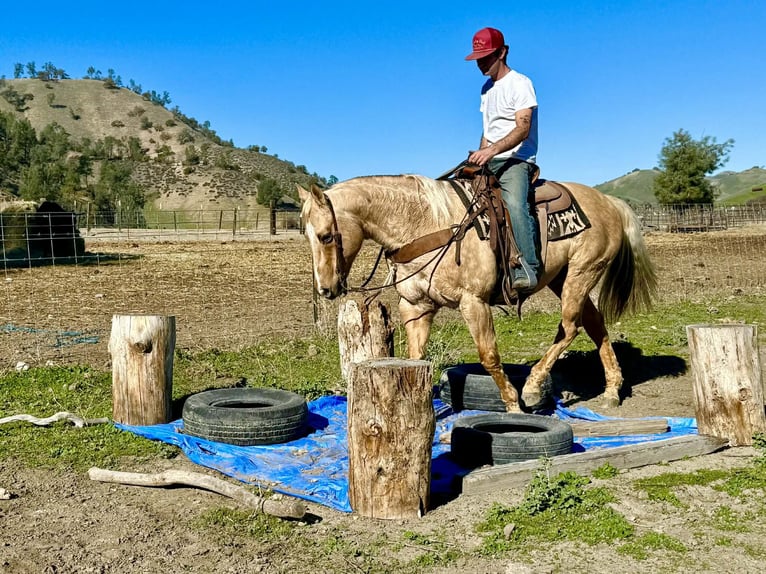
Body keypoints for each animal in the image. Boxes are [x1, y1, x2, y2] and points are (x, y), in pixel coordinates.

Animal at [297, 174, 656, 412]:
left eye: (326, 235)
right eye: (307, 235)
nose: (326, 289)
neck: (426, 224)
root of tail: (610, 202)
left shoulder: (474, 302)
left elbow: (489, 356)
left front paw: (512, 405)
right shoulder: (415, 306)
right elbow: (416, 358)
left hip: (582, 273)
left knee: (570, 327)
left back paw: (532, 387)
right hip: (564, 277)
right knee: (596, 325)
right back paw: (612, 390)